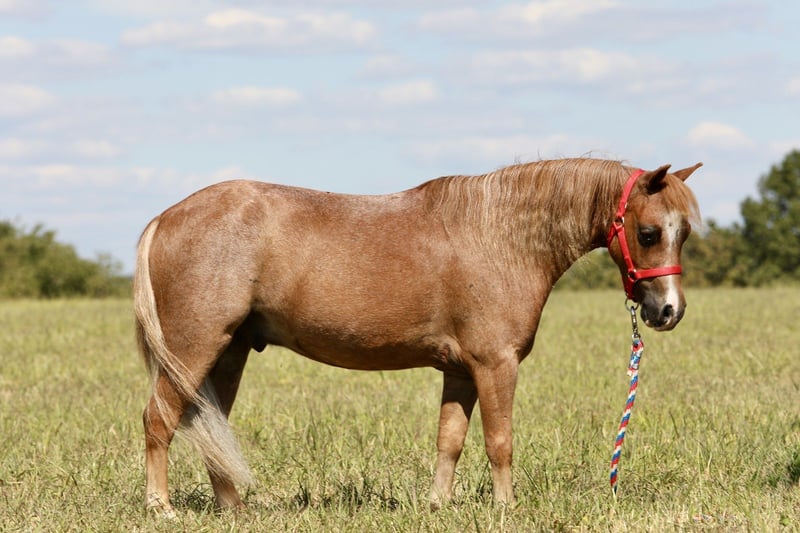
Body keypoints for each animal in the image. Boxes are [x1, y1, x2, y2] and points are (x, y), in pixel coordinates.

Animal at [133, 157, 701, 516]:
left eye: (686, 232)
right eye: (648, 232)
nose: (668, 311)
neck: (500, 237)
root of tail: (164, 218)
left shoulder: (460, 371)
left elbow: (450, 440)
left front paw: (438, 505)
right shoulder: (495, 365)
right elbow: (499, 441)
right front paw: (506, 509)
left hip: (228, 353)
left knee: (211, 428)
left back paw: (234, 509)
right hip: (193, 348)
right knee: (160, 419)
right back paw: (161, 508)